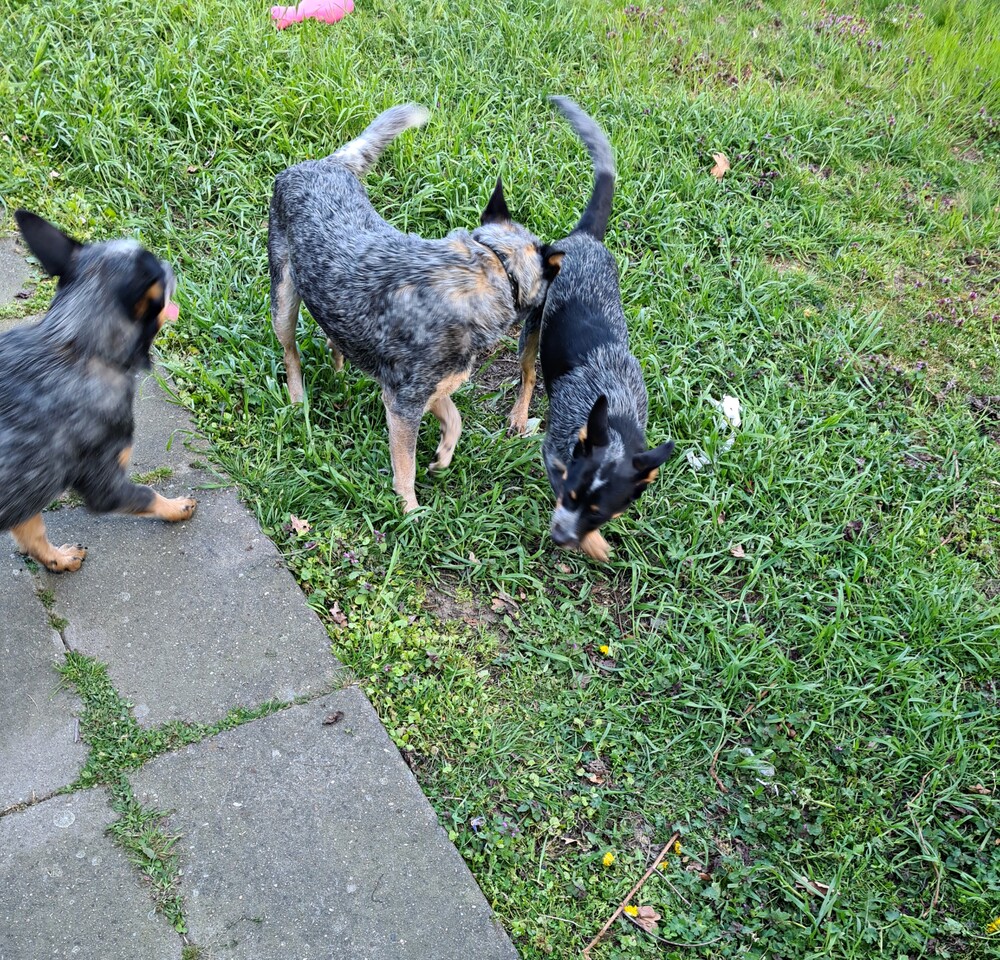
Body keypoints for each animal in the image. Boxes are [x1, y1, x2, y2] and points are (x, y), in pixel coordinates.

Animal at [0, 211, 197, 572]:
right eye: (158, 276)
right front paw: (176, 507)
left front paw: (57, 559)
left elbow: (32, 535)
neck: (77, 346)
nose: (169, 263)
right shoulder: (105, 482)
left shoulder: (24, 492)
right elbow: (146, 494)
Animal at [268, 103, 563, 512]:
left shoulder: (430, 389)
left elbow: (454, 418)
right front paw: (409, 512)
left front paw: (442, 457)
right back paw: (298, 401)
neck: (493, 266)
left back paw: (339, 374)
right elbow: (404, 469)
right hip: (283, 302)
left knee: (332, 341)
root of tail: (325, 163)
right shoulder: (402, 404)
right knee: (290, 353)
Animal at [509, 97, 675, 561]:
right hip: (533, 324)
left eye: (600, 510)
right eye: (570, 494)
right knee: (528, 372)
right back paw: (520, 411)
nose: (560, 537)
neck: (614, 414)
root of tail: (585, 238)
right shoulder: (555, 453)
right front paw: (594, 546)